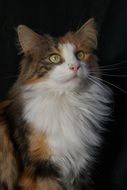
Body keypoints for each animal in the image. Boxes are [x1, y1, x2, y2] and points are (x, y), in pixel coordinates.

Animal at [0, 18, 111, 190]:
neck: (67, 102)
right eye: (54, 58)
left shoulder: (80, 166)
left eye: (80, 55)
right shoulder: (39, 169)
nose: (75, 66)